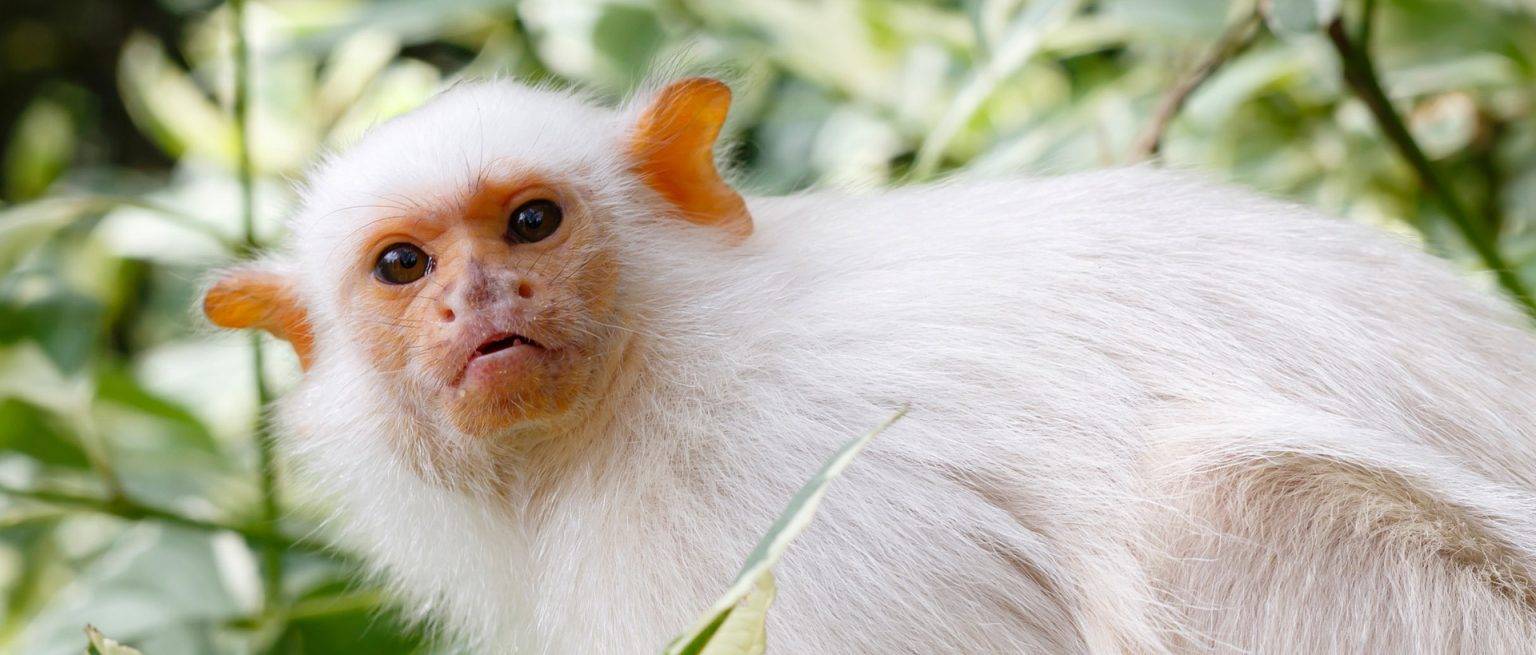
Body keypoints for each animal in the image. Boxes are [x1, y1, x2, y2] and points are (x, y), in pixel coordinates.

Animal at [203, 77, 1536, 653]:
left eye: (532, 224)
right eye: (403, 265)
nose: (480, 300)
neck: (652, 371)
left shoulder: (792, 520)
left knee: (1234, 506)